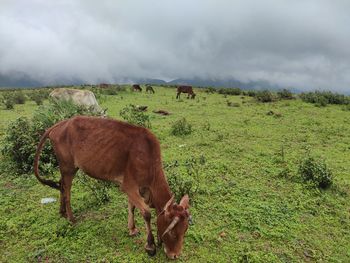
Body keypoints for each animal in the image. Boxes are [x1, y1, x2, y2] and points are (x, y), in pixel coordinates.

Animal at [34, 117, 190, 260]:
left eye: (184, 231)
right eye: (172, 233)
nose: (175, 255)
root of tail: (62, 123)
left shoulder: (136, 189)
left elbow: (132, 207)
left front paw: (132, 229)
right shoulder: (128, 186)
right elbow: (146, 213)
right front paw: (150, 246)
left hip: (67, 168)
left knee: (61, 185)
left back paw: (62, 213)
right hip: (68, 167)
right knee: (66, 190)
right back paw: (71, 218)